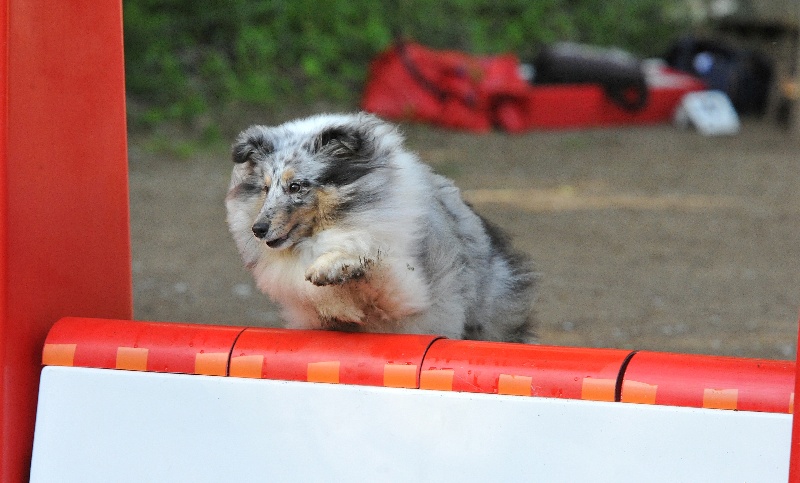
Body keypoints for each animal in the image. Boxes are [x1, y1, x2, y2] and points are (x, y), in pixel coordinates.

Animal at [225, 112, 536, 344]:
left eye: (296, 186)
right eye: (265, 188)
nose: (258, 229)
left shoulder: (406, 291)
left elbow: (370, 262)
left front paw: (333, 267)